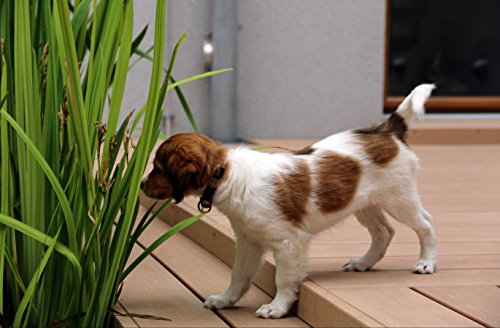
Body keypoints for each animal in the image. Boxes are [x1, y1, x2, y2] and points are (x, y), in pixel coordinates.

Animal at [141, 84, 438, 318]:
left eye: (157, 168)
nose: (141, 185)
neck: (226, 175)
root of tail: (387, 130)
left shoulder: (288, 243)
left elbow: (283, 279)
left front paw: (277, 307)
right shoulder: (248, 241)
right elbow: (238, 274)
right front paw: (225, 299)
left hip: (399, 197)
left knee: (425, 224)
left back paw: (426, 262)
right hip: (364, 203)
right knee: (383, 231)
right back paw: (363, 263)